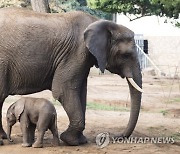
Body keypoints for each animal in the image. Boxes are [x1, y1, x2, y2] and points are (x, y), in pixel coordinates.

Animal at [0, 7, 142, 146]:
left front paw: (80, 141)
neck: (99, 22)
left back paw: (3, 137)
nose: (117, 136)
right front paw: (70, 140)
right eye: (126, 55)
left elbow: (81, 92)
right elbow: (63, 90)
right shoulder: (76, 52)